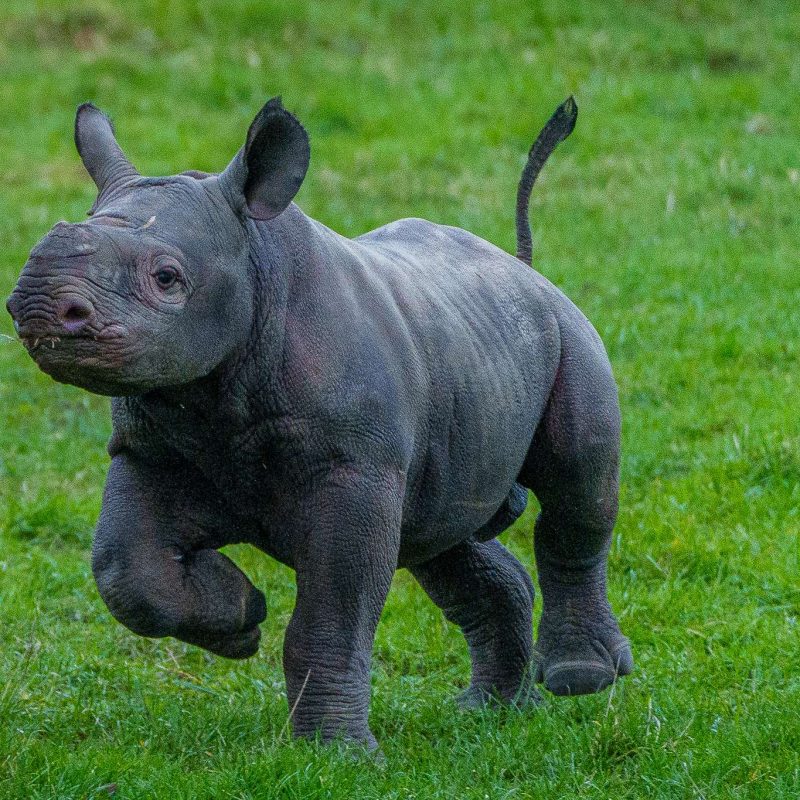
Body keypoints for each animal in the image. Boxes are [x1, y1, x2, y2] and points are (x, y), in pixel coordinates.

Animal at [6, 95, 632, 752]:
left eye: (167, 278)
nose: (39, 304)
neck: (254, 262)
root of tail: (522, 269)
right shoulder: (149, 448)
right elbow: (125, 568)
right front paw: (241, 618)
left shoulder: (355, 466)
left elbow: (334, 609)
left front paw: (336, 754)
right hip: (469, 350)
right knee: (441, 537)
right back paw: (490, 713)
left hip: (567, 331)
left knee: (577, 485)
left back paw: (579, 678)